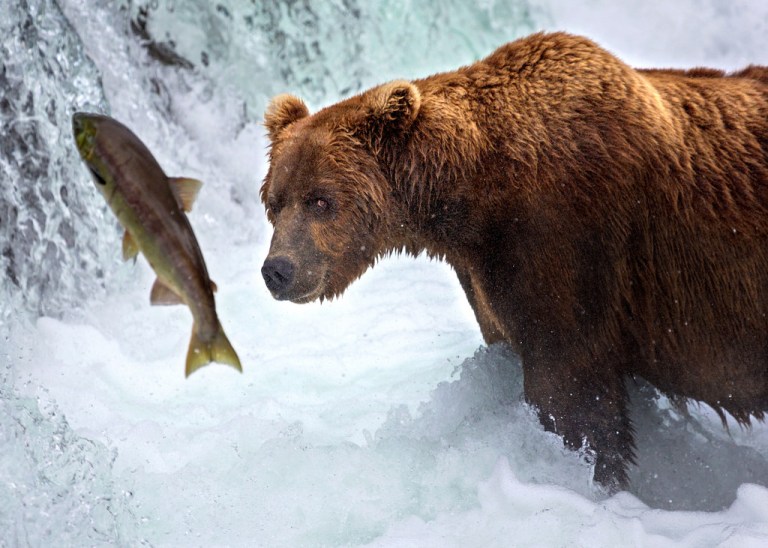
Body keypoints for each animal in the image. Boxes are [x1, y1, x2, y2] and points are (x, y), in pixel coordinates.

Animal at [259, 31, 768, 491]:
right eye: (275, 202)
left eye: (320, 200)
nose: (277, 270)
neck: (473, 195)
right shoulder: (486, 270)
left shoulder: (563, 240)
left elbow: (570, 387)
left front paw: (588, 472)